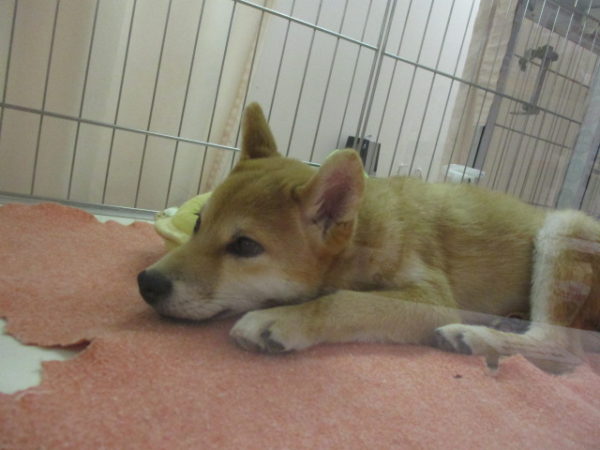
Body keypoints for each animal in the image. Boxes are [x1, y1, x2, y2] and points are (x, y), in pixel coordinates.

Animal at [138, 103, 600, 373]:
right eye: (199, 223)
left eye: (245, 246)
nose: (147, 282)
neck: (366, 236)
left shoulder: (434, 299)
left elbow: (345, 301)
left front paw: (284, 318)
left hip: (565, 226)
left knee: (561, 347)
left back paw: (474, 336)